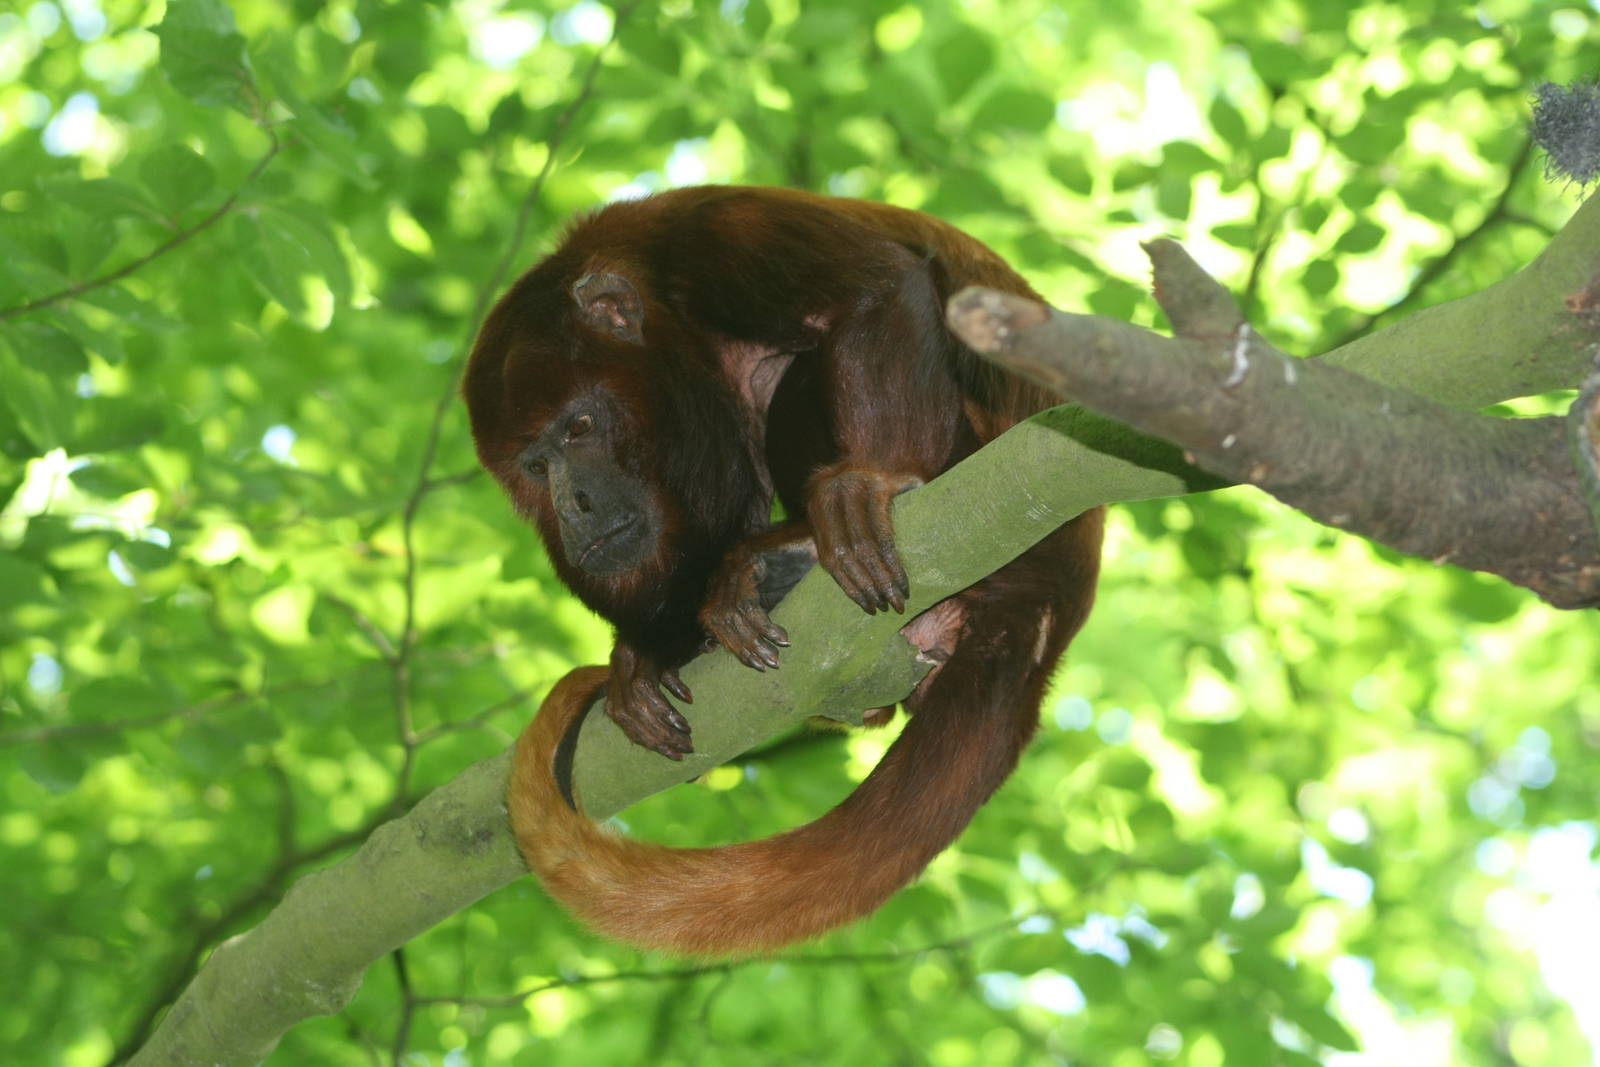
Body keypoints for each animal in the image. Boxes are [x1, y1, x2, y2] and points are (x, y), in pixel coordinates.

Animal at [464, 185, 1104, 954]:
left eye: (580, 427)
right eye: (536, 466)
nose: (574, 507)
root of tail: (1051, 619)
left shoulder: (720, 236)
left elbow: (878, 286)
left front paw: (872, 479)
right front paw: (644, 656)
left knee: (791, 372)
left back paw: (797, 551)